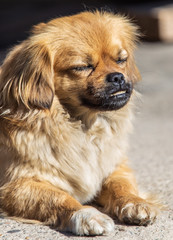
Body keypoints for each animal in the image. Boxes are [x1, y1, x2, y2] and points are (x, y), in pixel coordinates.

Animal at [0, 11, 159, 236]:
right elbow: (58, 198)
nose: (118, 77)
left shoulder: (114, 166)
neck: (85, 127)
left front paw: (135, 203)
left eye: (121, 60)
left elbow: (121, 186)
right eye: (83, 67)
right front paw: (87, 215)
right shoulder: (15, 186)